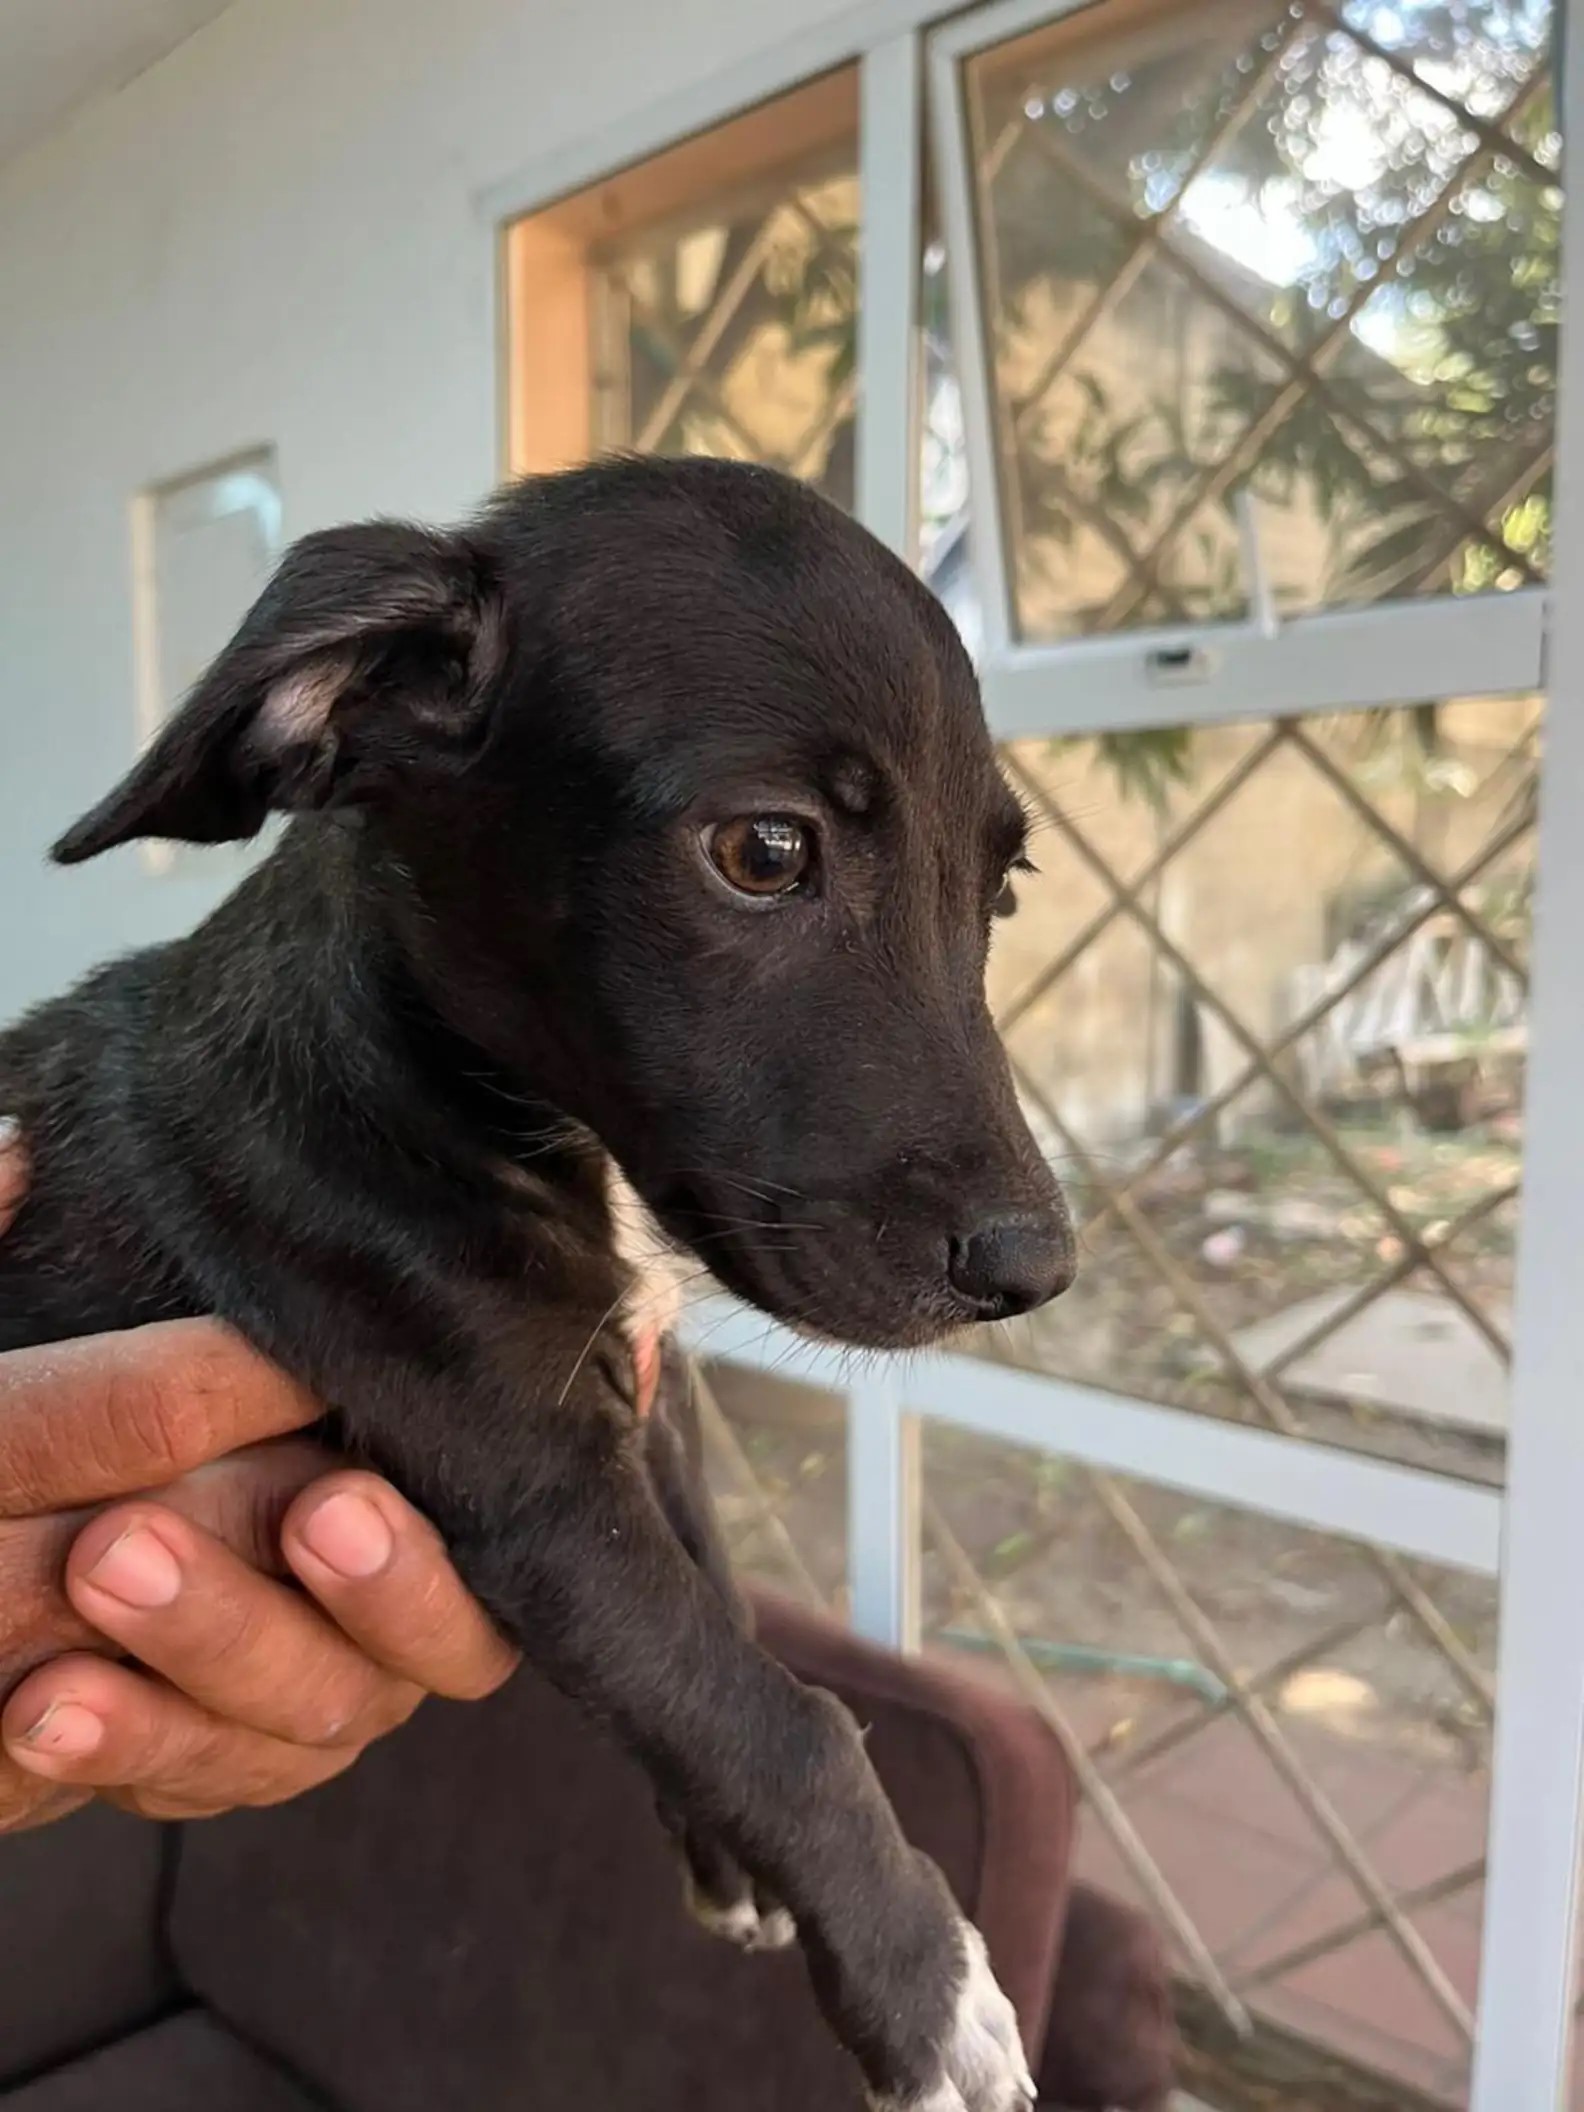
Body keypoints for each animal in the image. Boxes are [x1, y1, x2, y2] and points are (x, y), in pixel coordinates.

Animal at [0, 462, 1072, 2112]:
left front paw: (743, 1863)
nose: (1038, 1266)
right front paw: (929, 1986)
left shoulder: (648, 1409)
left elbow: (722, 1638)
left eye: (999, 890)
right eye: (766, 852)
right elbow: (785, 1720)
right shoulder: (532, 1482)